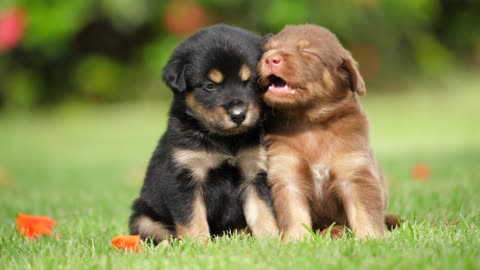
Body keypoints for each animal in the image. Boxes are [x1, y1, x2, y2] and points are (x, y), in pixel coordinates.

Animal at [128, 25, 278, 244]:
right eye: (210, 86)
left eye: (249, 81)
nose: (238, 114)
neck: (225, 140)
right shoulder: (185, 176)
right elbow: (192, 218)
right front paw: (199, 244)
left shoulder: (254, 173)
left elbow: (263, 212)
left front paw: (271, 241)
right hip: (143, 219)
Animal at [258, 24, 390, 240]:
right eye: (268, 49)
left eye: (306, 51)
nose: (270, 59)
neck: (310, 123)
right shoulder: (287, 173)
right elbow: (294, 212)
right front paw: (296, 240)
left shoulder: (355, 172)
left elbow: (365, 212)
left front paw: (370, 238)